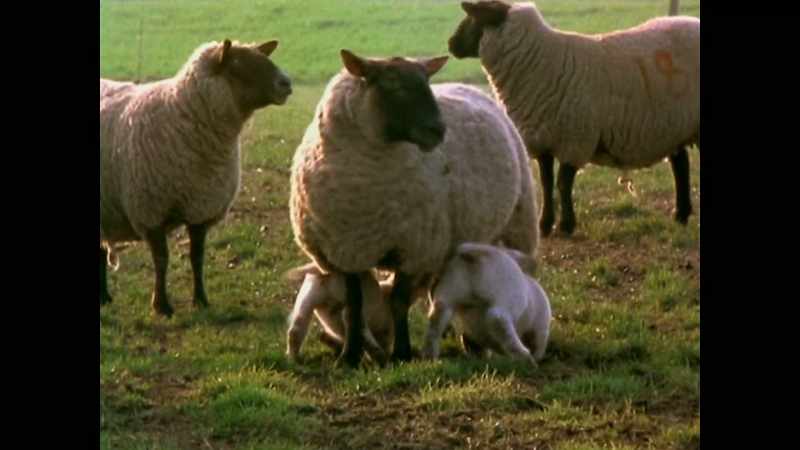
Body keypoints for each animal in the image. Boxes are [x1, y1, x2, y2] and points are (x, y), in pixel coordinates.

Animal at [100, 39, 292, 317]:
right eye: (237, 64)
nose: (286, 83)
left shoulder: (202, 207)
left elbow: (197, 257)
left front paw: (200, 300)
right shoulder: (150, 209)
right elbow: (162, 259)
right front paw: (162, 305)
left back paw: (104, 298)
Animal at [421, 242, 551, 366]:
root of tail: (473, 253)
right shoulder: (540, 329)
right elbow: (538, 346)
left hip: (449, 293)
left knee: (436, 321)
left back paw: (430, 356)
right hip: (507, 297)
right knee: (498, 321)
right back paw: (524, 357)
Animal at [449, 1, 700, 236]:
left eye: (473, 19)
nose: (451, 44)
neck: (541, 62)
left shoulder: (575, 138)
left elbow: (562, 183)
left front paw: (566, 225)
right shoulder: (543, 139)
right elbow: (546, 182)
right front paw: (545, 225)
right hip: (674, 126)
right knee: (680, 164)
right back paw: (680, 215)